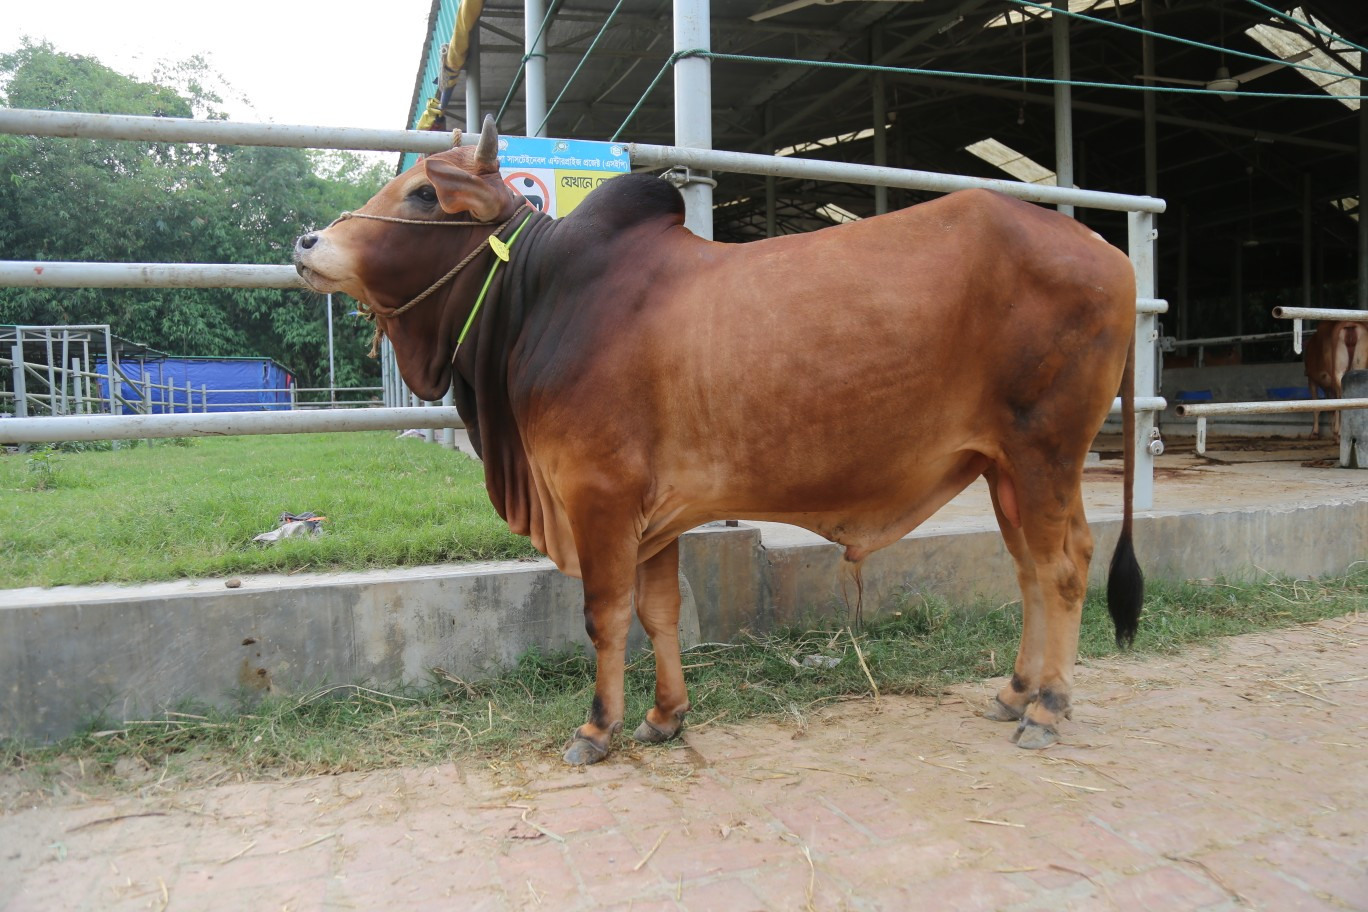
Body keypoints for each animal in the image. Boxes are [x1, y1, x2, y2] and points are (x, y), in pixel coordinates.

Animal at [294, 117, 1144, 765]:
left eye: (424, 193)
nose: (307, 242)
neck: (539, 297)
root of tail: (1113, 256)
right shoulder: (652, 516)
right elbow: (660, 611)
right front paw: (665, 717)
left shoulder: (598, 497)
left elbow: (605, 615)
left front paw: (597, 728)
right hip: (1003, 468)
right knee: (1030, 570)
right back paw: (1015, 692)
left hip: (1045, 452)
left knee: (1065, 566)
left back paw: (1049, 707)